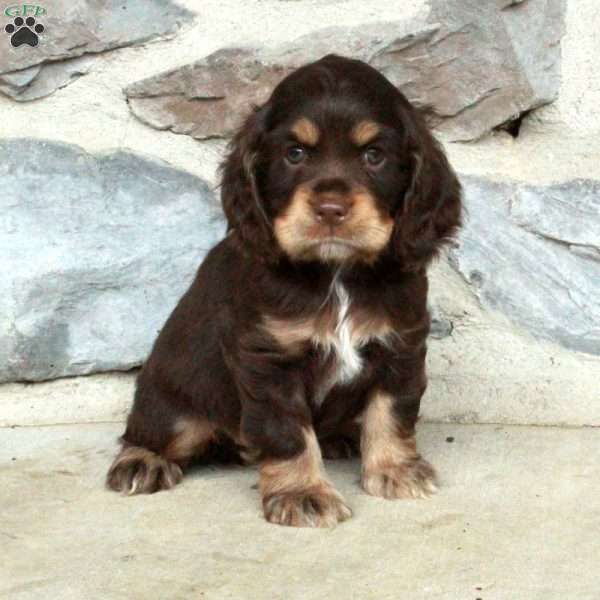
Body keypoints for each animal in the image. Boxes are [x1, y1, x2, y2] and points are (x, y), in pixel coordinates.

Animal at [105, 54, 462, 528]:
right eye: (295, 154)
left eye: (374, 155)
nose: (330, 209)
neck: (336, 273)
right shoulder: (269, 359)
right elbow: (288, 430)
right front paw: (303, 494)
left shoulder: (400, 344)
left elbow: (392, 410)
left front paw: (396, 469)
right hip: (176, 404)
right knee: (150, 431)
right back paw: (142, 461)